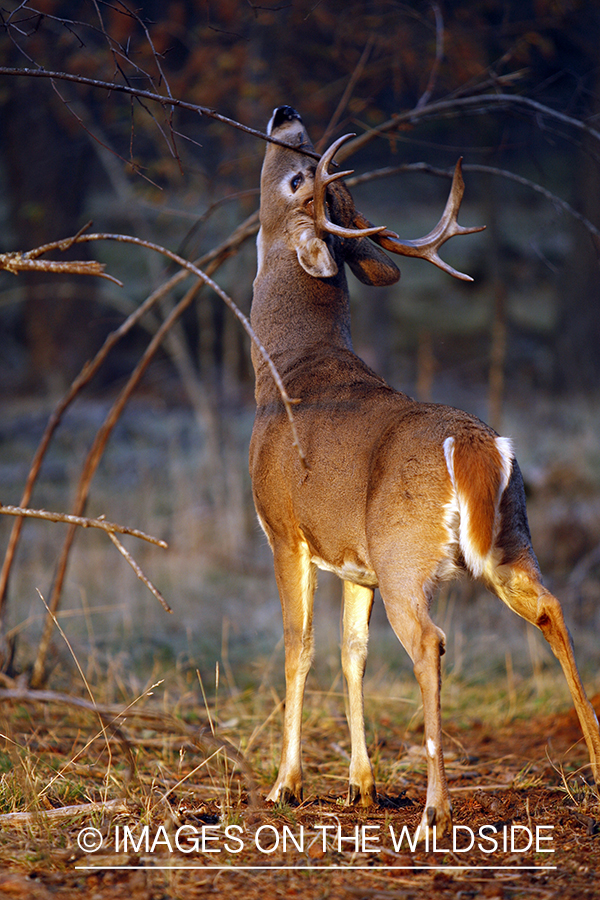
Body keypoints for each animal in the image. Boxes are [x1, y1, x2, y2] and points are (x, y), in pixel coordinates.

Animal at [250, 105, 600, 836]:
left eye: (298, 177)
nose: (286, 114)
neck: (281, 373)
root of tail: (473, 443)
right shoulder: (354, 562)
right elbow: (353, 653)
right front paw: (360, 786)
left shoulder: (284, 531)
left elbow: (299, 647)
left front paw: (286, 786)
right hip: (508, 537)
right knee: (553, 610)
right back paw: (598, 770)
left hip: (404, 553)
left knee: (430, 642)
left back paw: (436, 808)